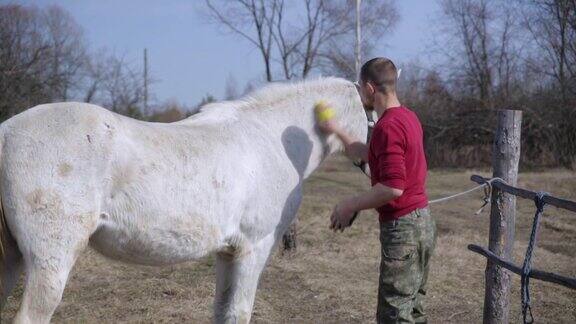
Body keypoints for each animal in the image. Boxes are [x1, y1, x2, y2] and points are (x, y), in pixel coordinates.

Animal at [0, 77, 366, 322]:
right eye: (368, 113)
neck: (270, 138)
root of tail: (5, 132)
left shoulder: (228, 252)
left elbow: (222, 311)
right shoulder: (254, 247)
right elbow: (239, 312)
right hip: (50, 261)